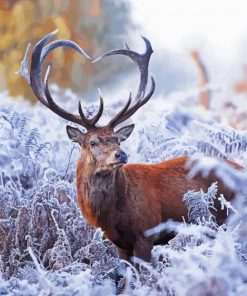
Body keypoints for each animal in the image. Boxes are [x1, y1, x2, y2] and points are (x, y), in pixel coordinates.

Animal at [18, 31, 241, 262]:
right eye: (93, 142)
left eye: (118, 139)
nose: (121, 155)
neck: (113, 217)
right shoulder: (120, 245)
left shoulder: (146, 235)